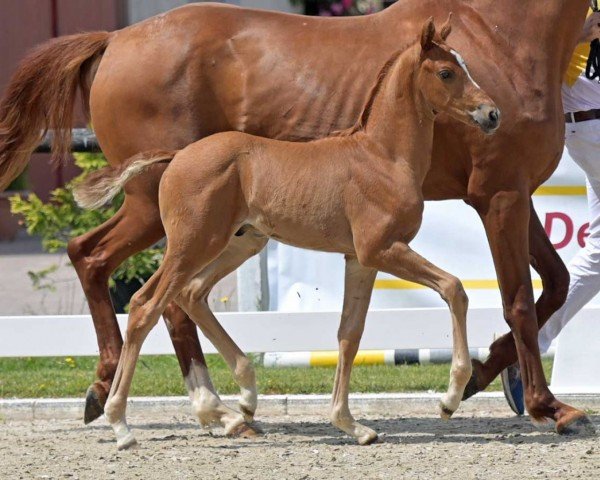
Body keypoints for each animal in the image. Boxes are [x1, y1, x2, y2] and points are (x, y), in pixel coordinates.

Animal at [81, 16, 502, 448]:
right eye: (447, 72)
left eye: (464, 65)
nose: (491, 114)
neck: (383, 156)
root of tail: (178, 155)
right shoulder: (382, 249)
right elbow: (454, 288)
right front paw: (450, 399)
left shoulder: (359, 259)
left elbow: (349, 333)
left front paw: (350, 424)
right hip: (193, 244)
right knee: (145, 306)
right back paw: (121, 424)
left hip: (239, 243)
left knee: (190, 294)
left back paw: (244, 402)